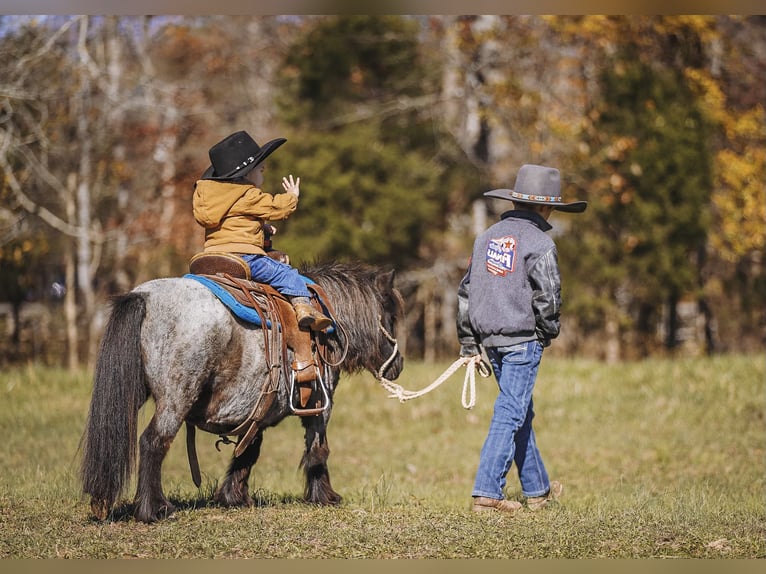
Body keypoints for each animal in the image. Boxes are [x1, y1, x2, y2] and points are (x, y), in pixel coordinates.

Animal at [82, 264, 408, 524]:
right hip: (176, 399)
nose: (398, 365)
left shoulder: (259, 409)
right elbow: (317, 450)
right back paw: (154, 509)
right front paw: (325, 496)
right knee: (153, 443)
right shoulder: (320, 405)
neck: (328, 323)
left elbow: (248, 451)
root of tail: (144, 296)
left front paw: (233, 497)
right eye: (390, 317)